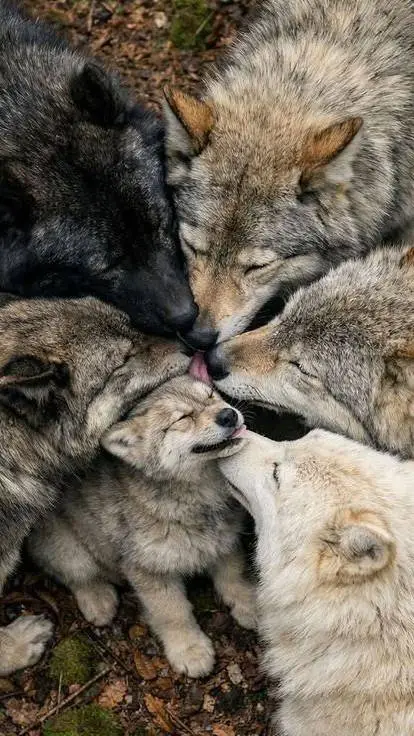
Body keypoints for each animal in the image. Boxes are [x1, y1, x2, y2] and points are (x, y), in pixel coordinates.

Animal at [29, 376, 256, 678]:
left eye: (211, 396)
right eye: (182, 418)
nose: (228, 414)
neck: (197, 494)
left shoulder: (223, 541)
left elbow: (233, 577)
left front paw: (248, 603)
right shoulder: (148, 569)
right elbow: (173, 613)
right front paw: (189, 649)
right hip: (66, 548)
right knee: (77, 575)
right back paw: (97, 598)